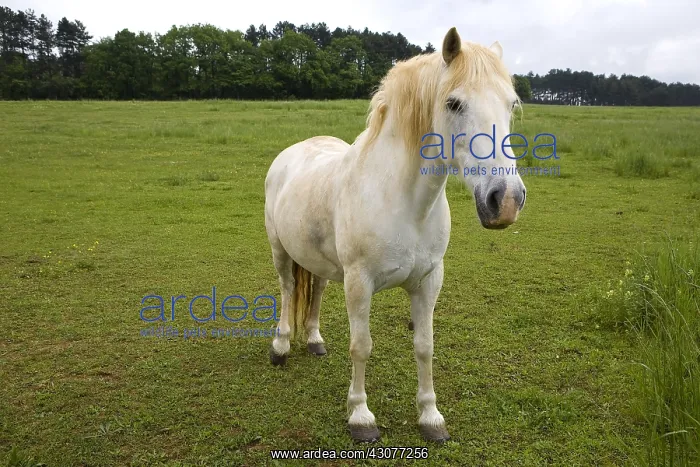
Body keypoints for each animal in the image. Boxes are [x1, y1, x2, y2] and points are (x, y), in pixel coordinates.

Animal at [263, 27, 526, 443]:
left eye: (512, 103)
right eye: (453, 103)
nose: (506, 201)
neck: (404, 203)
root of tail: (292, 153)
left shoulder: (429, 281)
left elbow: (425, 346)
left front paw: (431, 417)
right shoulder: (359, 283)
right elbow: (361, 346)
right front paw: (360, 417)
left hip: (319, 260)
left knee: (315, 290)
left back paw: (315, 341)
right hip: (280, 251)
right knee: (289, 290)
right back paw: (281, 346)